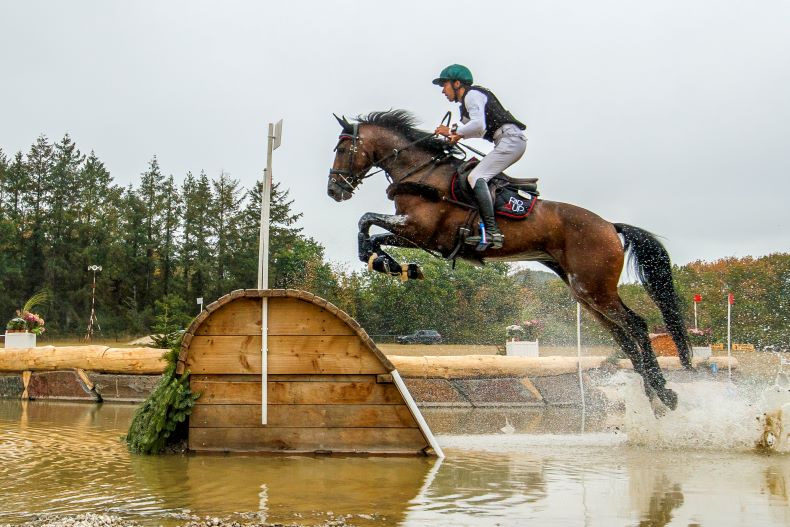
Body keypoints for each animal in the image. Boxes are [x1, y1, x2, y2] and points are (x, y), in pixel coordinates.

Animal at [328, 109, 692, 410]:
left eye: (343, 149)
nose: (334, 190)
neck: (422, 173)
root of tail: (609, 225)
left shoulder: (421, 230)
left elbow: (366, 220)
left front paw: (391, 264)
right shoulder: (415, 235)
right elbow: (369, 232)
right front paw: (394, 266)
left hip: (595, 288)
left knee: (637, 326)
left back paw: (665, 393)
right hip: (585, 293)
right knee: (623, 337)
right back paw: (652, 397)